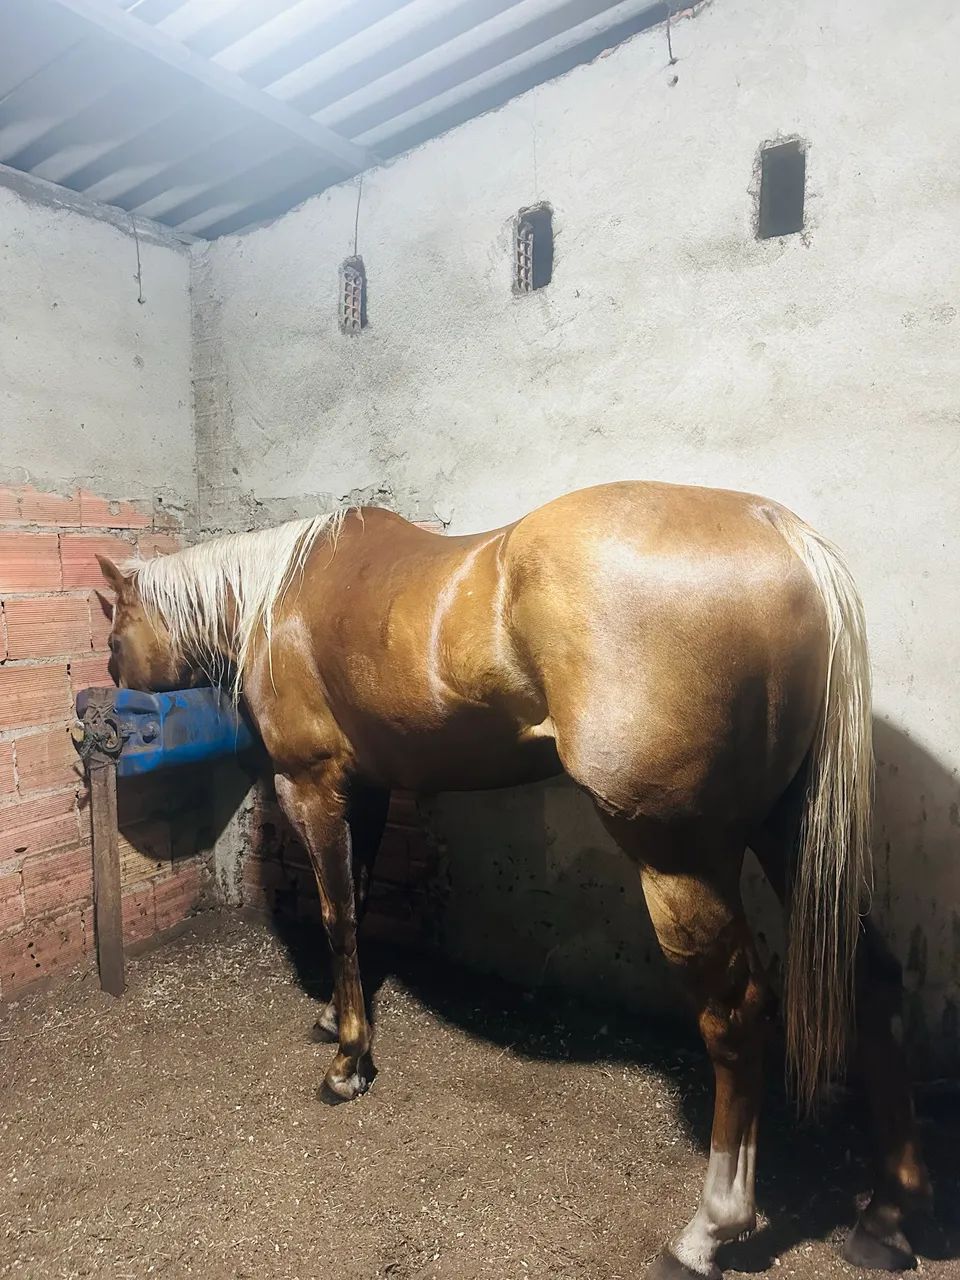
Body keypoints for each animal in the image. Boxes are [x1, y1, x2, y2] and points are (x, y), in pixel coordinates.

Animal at [97, 480, 930, 1279]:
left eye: (113, 628)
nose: (111, 679)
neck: (280, 599)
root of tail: (782, 536)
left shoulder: (313, 785)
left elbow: (335, 917)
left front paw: (347, 1064)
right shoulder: (368, 789)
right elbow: (357, 907)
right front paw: (338, 1018)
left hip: (681, 859)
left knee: (736, 1017)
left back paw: (706, 1235)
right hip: (785, 831)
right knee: (873, 977)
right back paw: (886, 1219)